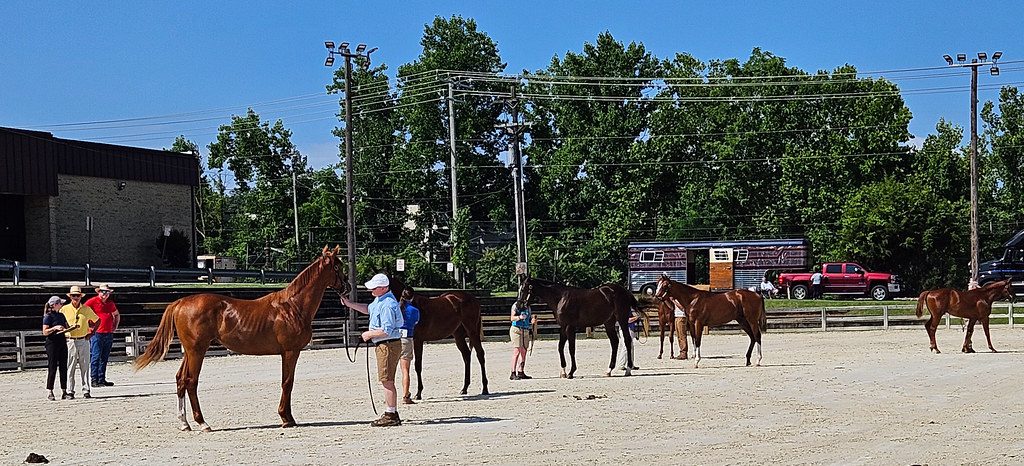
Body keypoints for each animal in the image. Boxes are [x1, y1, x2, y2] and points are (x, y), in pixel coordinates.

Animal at [134, 245, 350, 432]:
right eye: (337, 267)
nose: (347, 287)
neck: (292, 306)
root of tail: (179, 302)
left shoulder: (286, 353)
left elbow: (285, 381)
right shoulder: (290, 352)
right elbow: (288, 382)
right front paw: (286, 418)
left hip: (189, 351)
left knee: (180, 379)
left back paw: (184, 423)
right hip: (197, 351)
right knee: (191, 381)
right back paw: (203, 423)